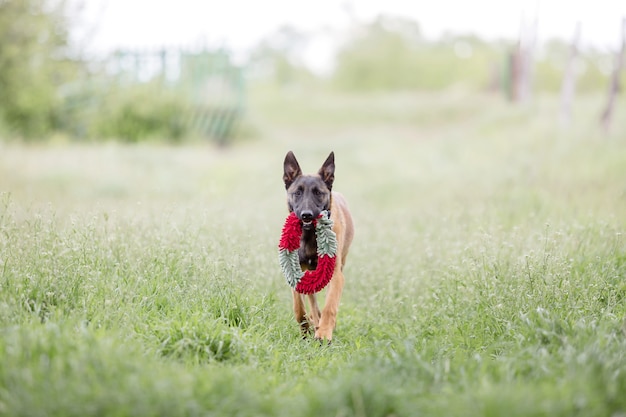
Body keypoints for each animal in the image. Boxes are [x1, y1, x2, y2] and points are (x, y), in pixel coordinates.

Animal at [282, 150, 352, 342]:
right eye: (297, 193)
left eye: (318, 193)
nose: (306, 215)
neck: (309, 235)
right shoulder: (296, 270)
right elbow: (299, 307)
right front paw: (306, 328)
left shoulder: (336, 274)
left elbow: (330, 305)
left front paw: (324, 333)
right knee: (311, 300)